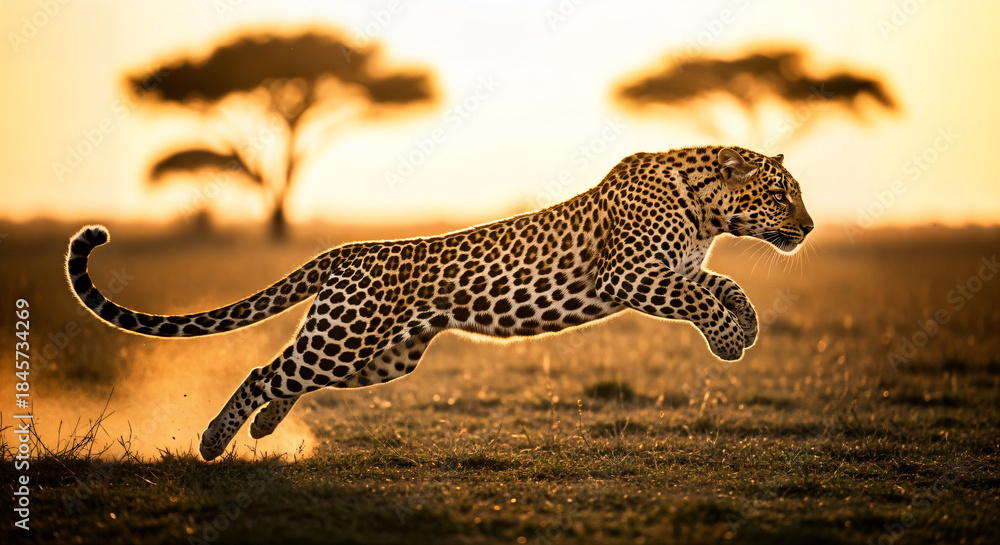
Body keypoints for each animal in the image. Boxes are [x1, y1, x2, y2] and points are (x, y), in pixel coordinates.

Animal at [65, 145, 813, 461]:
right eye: (783, 193)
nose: (808, 228)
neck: (709, 210)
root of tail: (349, 251)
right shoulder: (630, 276)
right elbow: (710, 292)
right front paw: (732, 338)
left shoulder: (667, 273)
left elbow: (719, 285)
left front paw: (741, 331)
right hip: (346, 336)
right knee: (264, 370)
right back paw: (215, 440)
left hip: (381, 356)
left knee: (288, 375)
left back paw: (263, 429)